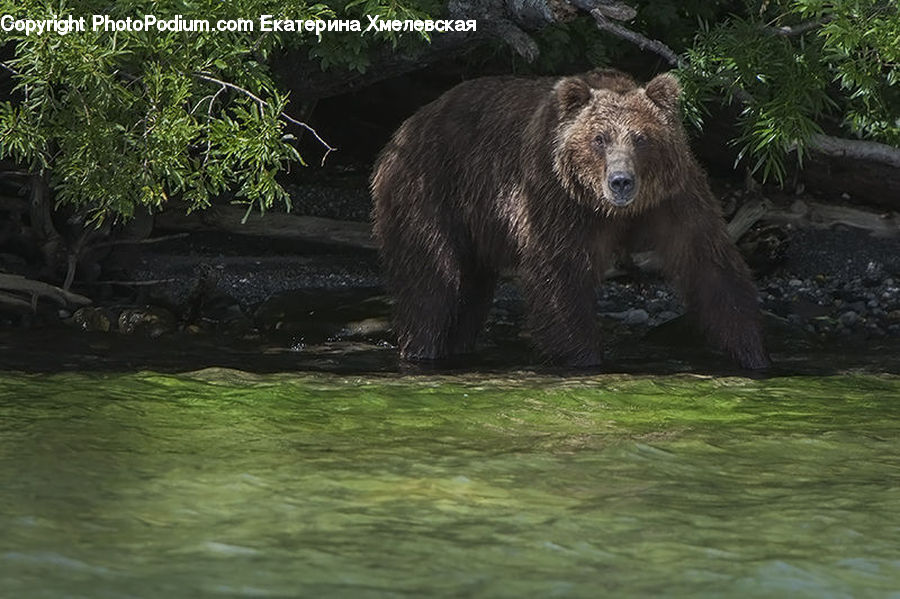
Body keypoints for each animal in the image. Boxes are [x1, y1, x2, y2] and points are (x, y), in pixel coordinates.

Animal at [370, 68, 770, 370]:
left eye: (641, 138)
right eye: (600, 139)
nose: (621, 181)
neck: (615, 211)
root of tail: (406, 127)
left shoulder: (674, 200)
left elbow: (711, 266)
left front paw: (756, 355)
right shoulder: (557, 201)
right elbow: (559, 278)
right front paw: (586, 358)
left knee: (469, 293)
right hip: (431, 192)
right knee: (433, 283)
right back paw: (422, 350)